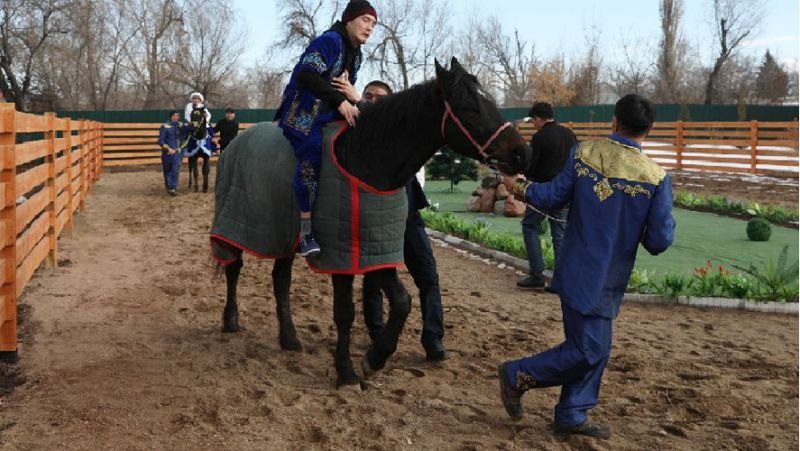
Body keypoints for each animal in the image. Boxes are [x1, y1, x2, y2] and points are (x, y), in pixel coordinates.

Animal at [212, 57, 532, 388]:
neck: (364, 158)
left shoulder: (374, 249)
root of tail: (236, 143)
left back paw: (289, 338)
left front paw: (374, 358)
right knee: (233, 266)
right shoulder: (341, 253)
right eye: (470, 106)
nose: (522, 152)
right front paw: (346, 372)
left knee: (280, 279)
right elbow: (344, 313)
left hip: (283, 232)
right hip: (235, 221)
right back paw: (231, 320)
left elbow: (403, 301)